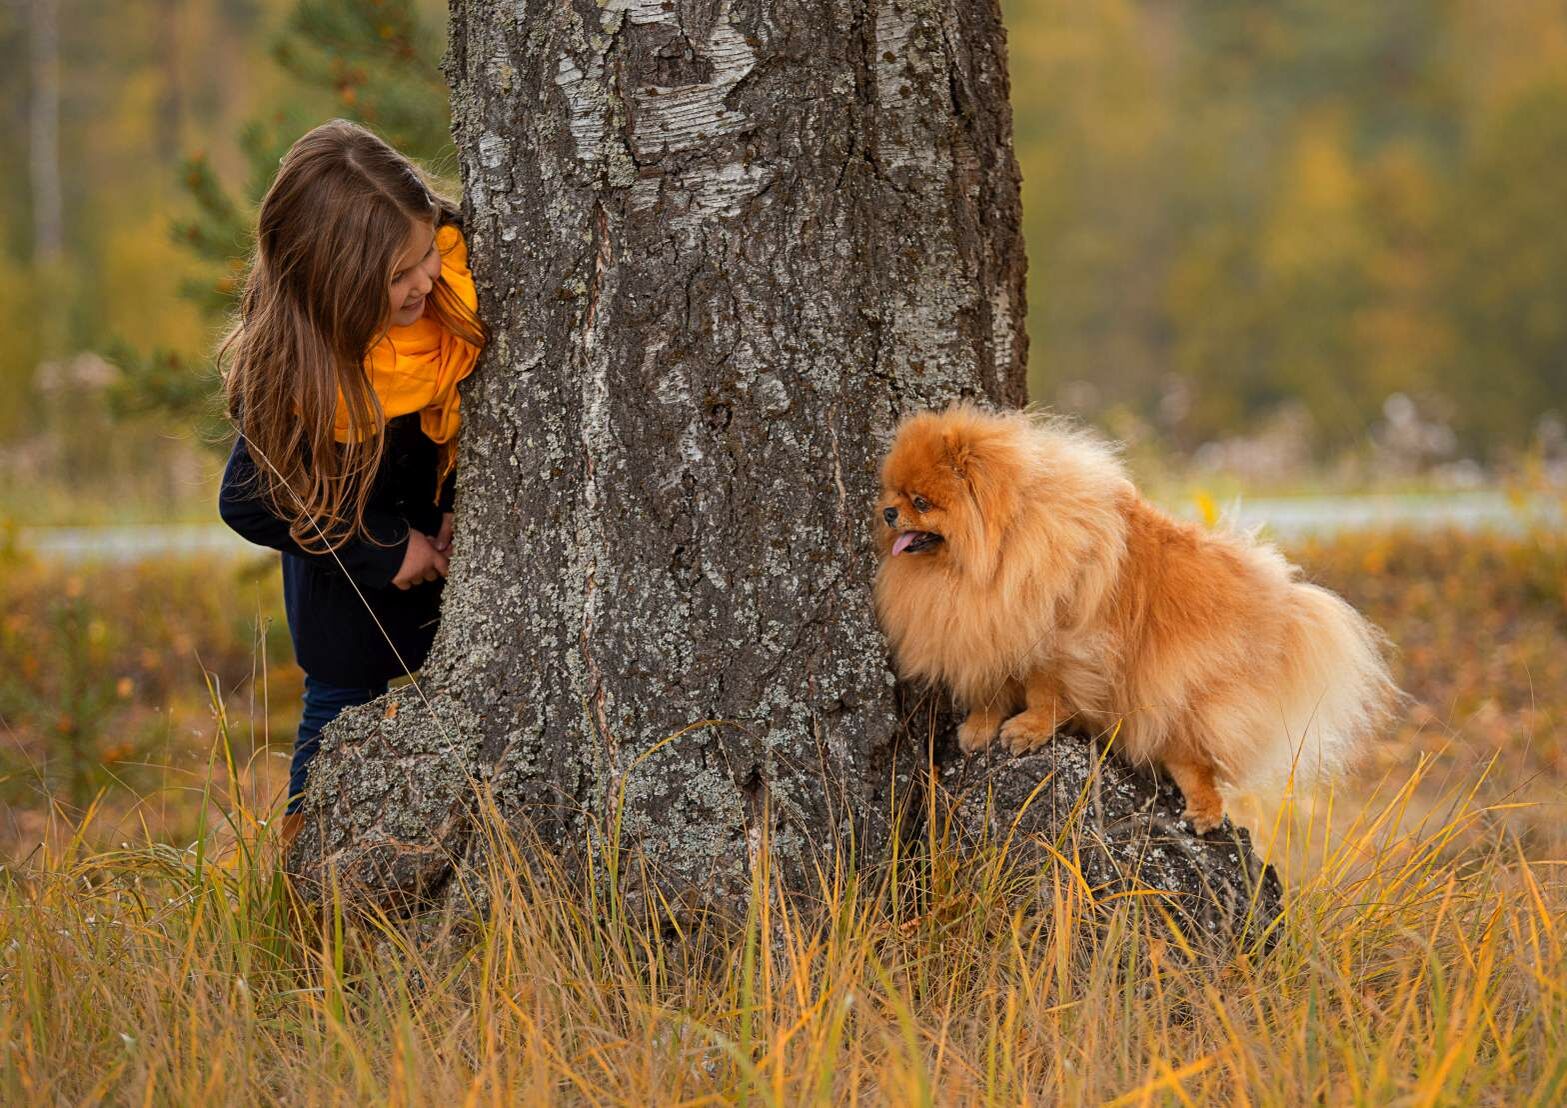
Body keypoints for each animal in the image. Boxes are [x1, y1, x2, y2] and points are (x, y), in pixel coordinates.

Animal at [877, 404, 1404, 833]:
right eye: (894, 492)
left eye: (921, 502)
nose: (887, 512)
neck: (997, 548)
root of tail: (1278, 602)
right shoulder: (988, 630)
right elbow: (991, 691)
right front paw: (979, 728)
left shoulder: (1058, 640)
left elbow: (1046, 693)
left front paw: (1028, 730)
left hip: (1181, 692)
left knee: (1196, 760)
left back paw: (1205, 811)